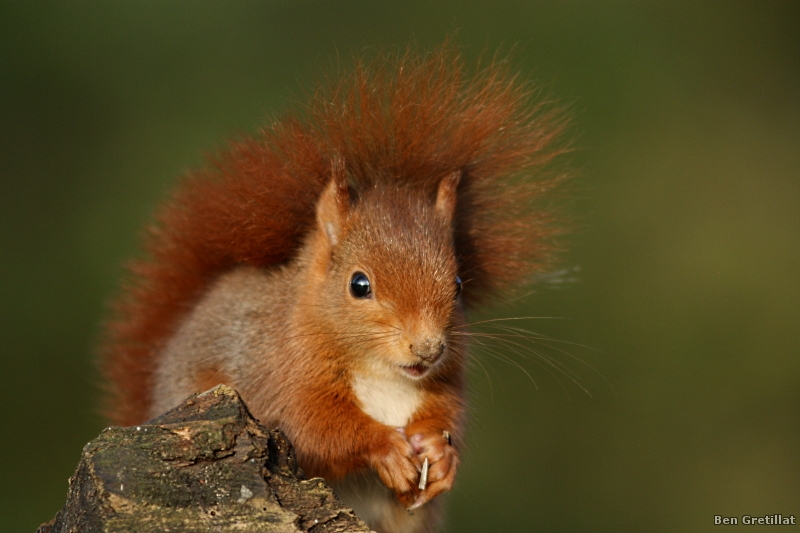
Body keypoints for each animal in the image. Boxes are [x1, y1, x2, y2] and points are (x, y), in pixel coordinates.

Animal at [100, 44, 568, 532]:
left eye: (458, 285)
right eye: (359, 285)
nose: (428, 349)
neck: (381, 373)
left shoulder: (446, 379)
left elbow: (446, 413)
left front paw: (441, 454)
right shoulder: (282, 373)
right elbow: (317, 429)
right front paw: (385, 448)